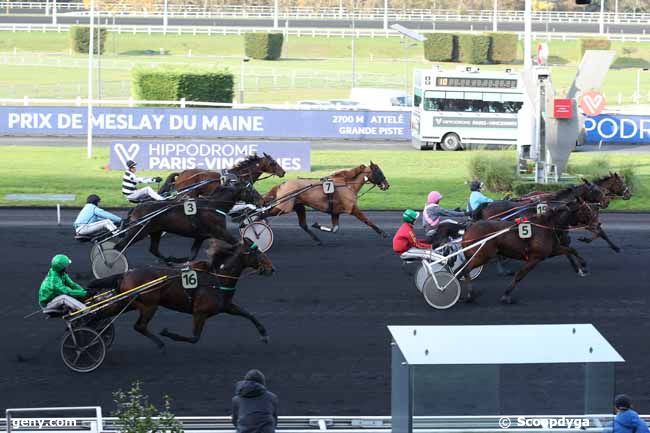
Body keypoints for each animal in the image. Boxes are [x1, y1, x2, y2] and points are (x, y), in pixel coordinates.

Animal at [88, 236, 274, 352]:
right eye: (257, 252)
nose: (271, 269)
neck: (217, 278)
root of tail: (126, 274)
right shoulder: (200, 312)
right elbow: (194, 338)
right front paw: (168, 333)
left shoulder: (226, 306)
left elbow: (248, 314)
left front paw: (264, 334)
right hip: (148, 305)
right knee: (139, 326)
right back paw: (160, 343)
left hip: (128, 303)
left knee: (103, 315)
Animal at [115, 178, 260, 262]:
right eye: (251, 189)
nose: (260, 200)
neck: (213, 206)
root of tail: (135, 208)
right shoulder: (220, 232)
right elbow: (237, 243)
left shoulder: (200, 237)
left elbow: (192, 255)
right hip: (138, 231)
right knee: (119, 247)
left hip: (155, 231)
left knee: (154, 249)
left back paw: (169, 260)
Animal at [260, 161, 390, 243]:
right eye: (379, 172)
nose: (387, 185)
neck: (347, 185)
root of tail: (282, 184)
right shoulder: (352, 208)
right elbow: (367, 221)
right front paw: (383, 233)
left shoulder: (335, 212)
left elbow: (334, 229)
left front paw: (316, 225)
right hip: (284, 207)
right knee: (263, 214)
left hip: (298, 206)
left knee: (303, 224)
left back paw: (318, 240)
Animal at [456, 199, 596, 304]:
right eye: (586, 210)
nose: (597, 224)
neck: (547, 225)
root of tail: (469, 228)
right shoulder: (535, 257)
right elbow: (520, 274)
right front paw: (506, 295)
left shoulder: (550, 251)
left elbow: (570, 249)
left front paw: (582, 266)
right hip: (482, 256)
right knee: (465, 270)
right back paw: (469, 295)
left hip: (475, 255)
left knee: (461, 270)